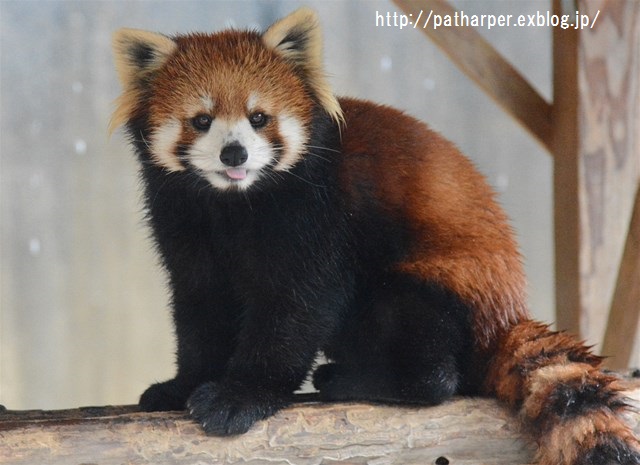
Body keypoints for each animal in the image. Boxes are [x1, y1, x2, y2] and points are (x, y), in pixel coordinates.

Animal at [111, 7, 640, 464]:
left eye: (258, 118)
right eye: (201, 121)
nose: (234, 153)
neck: (235, 203)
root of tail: (505, 318)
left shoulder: (320, 214)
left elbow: (299, 305)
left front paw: (240, 397)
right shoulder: (185, 222)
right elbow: (201, 306)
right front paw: (184, 385)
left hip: (439, 286)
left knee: (422, 346)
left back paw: (356, 380)